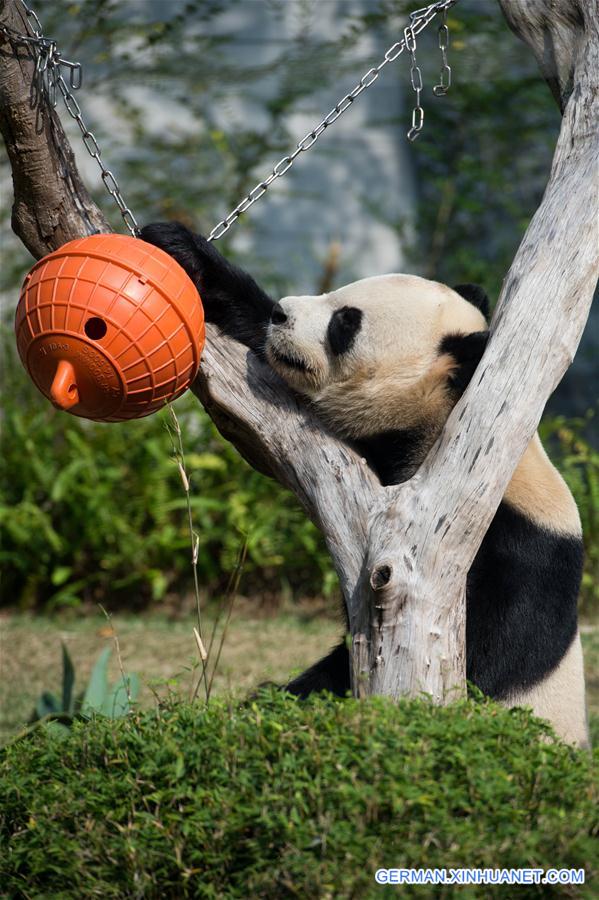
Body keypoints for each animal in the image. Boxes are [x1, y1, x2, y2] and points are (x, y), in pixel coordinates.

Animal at [142, 221, 592, 748]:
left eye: (346, 323)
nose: (282, 313)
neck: (442, 431)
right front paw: (184, 251)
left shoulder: (516, 549)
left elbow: (483, 652)